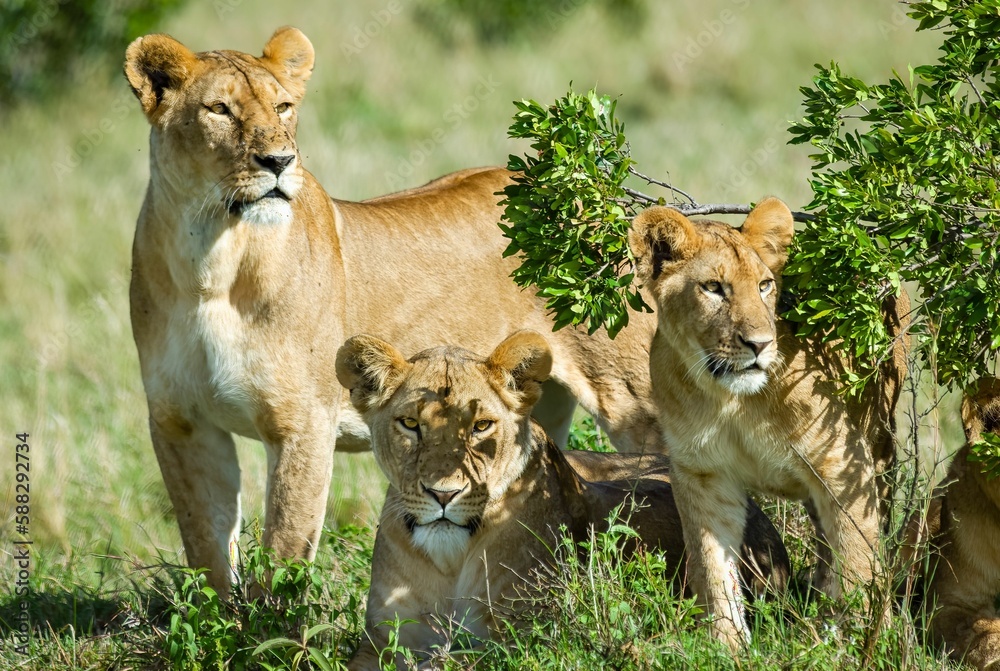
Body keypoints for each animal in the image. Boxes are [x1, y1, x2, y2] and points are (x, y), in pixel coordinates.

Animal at [124, 27, 662, 593]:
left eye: (283, 107)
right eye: (219, 109)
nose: (280, 162)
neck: (209, 259)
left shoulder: (302, 425)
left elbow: (284, 555)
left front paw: (270, 620)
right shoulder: (181, 423)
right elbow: (205, 550)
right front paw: (223, 613)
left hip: (634, 399)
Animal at [335, 330, 791, 669]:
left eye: (481, 426)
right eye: (410, 424)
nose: (443, 493)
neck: (449, 560)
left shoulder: (531, 636)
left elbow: (451, 660)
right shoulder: (380, 641)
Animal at [627, 200, 908, 649]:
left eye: (763, 286)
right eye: (713, 287)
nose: (759, 344)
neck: (730, 401)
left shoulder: (840, 465)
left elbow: (858, 557)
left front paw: (862, 643)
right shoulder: (703, 475)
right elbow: (710, 564)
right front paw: (727, 645)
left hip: (878, 441)